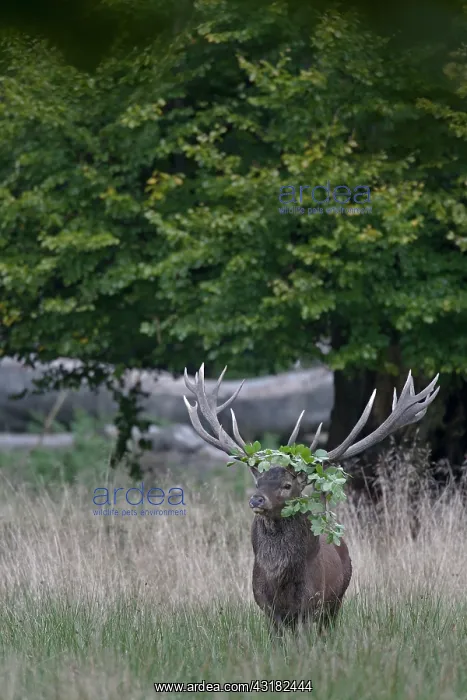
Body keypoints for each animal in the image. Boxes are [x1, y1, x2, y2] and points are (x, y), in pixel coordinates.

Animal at [183, 364, 439, 633]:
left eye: (287, 485)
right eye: (258, 482)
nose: (257, 500)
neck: (278, 579)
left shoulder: (310, 604)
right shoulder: (267, 608)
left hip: (336, 601)